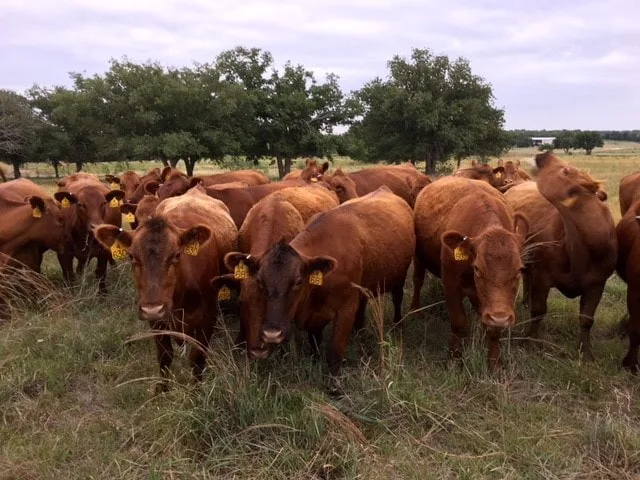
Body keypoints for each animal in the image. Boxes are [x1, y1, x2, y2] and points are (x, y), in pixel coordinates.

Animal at [93, 187, 238, 391]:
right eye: (132, 256)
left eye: (176, 255)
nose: (153, 308)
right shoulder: (156, 321)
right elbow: (164, 356)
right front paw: (162, 389)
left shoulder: (208, 317)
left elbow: (197, 357)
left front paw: (196, 390)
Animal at [219, 187, 415, 394]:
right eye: (260, 281)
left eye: (298, 281)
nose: (272, 334)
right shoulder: (314, 313)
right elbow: (314, 339)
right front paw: (313, 360)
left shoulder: (346, 308)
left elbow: (335, 351)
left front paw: (334, 386)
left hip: (400, 276)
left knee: (398, 298)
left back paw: (397, 324)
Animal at [412, 176, 528, 369]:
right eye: (477, 268)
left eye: (519, 269)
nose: (500, 318)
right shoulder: (450, 283)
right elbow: (458, 322)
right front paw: (454, 358)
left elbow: (493, 329)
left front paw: (494, 364)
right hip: (418, 258)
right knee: (417, 281)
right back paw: (414, 310)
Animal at [504, 152, 617, 361]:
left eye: (566, 170)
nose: (544, 154)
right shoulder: (541, 276)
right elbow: (538, 310)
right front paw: (530, 341)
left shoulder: (597, 283)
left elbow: (587, 319)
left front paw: (586, 352)